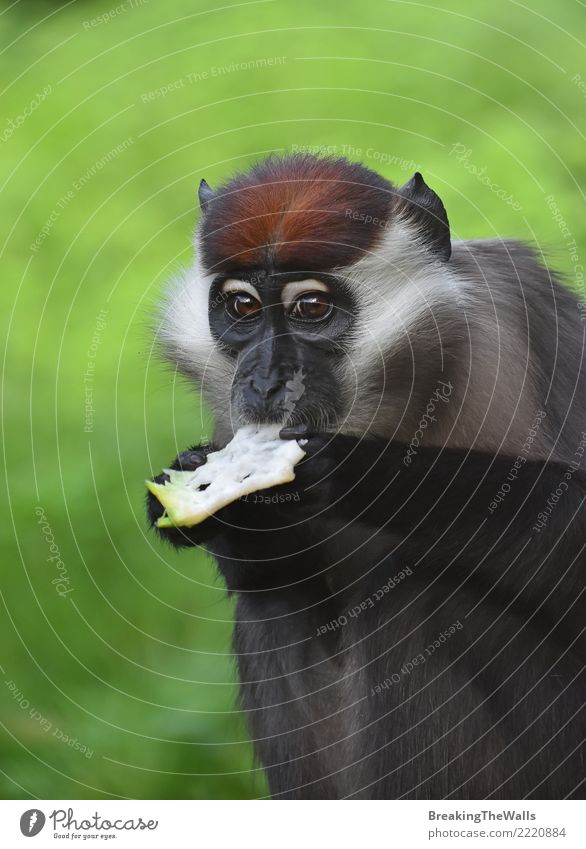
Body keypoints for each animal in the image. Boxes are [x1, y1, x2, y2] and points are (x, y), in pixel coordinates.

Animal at [146, 156, 584, 800]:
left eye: (310, 308)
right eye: (243, 308)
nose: (266, 381)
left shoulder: (525, 305)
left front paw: (355, 470)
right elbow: (260, 576)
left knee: (422, 594)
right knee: (273, 604)